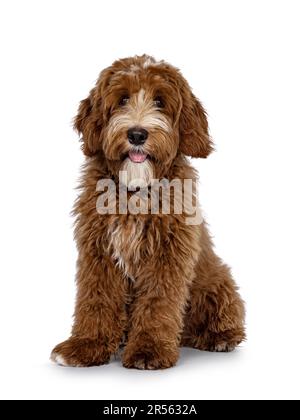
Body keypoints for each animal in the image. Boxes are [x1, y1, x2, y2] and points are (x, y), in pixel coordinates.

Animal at [50, 54, 245, 370]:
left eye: (160, 101)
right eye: (122, 99)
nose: (137, 134)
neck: (136, 192)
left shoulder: (167, 255)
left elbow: (157, 301)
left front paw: (149, 349)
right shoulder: (98, 251)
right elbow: (96, 298)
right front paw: (87, 345)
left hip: (218, 281)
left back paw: (220, 337)